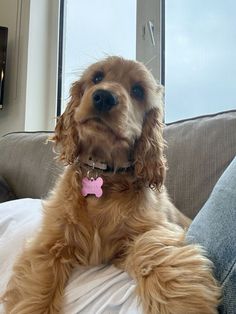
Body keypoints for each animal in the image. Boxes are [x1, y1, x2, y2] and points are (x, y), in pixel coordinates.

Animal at [1, 57, 220, 314]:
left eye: (138, 90)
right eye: (97, 77)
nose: (104, 97)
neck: (102, 172)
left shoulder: (155, 229)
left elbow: (156, 250)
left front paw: (181, 304)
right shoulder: (50, 243)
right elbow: (36, 291)